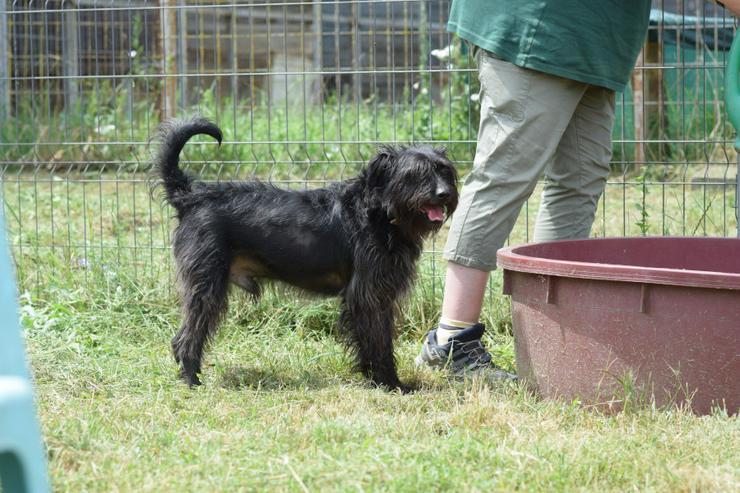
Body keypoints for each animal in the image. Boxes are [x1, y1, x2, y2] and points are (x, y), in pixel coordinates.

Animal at [156, 117, 456, 390]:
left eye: (444, 171)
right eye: (415, 174)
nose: (444, 193)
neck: (379, 213)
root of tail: (191, 197)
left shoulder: (381, 297)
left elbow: (379, 341)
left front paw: (380, 379)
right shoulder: (367, 297)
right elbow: (377, 343)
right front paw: (389, 382)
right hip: (206, 287)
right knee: (184, 339)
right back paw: (192, 381)